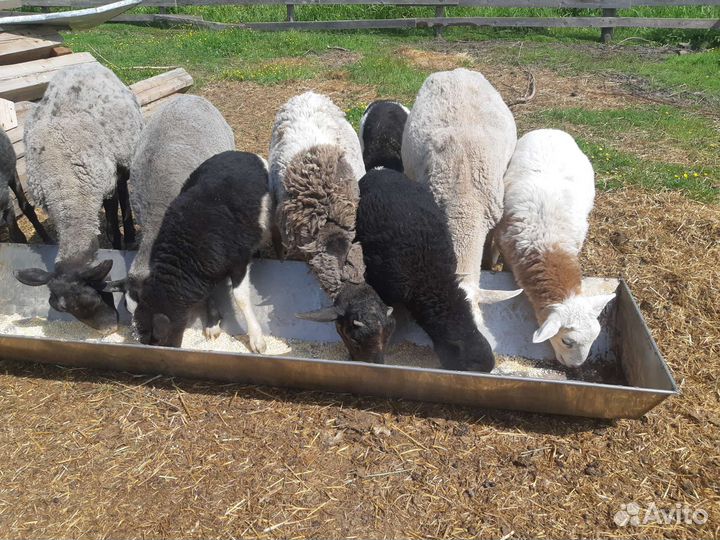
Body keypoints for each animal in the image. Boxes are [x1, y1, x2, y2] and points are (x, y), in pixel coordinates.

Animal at [13, 63, 144, 332]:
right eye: (61, 308)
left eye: (94, 296)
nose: (109, 329)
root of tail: (83, 64)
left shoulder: (105, 183)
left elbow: (112, 215)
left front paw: (119, 242)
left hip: (122, 158)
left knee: (123, 190)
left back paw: (129, 231)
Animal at [132, 151, 271, 351]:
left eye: (158, 340)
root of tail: (239, 153)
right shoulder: (205, 271)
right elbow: (208, 295)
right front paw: (212, 324)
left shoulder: (239, 262)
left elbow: (241, 298)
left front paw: (256, 338)